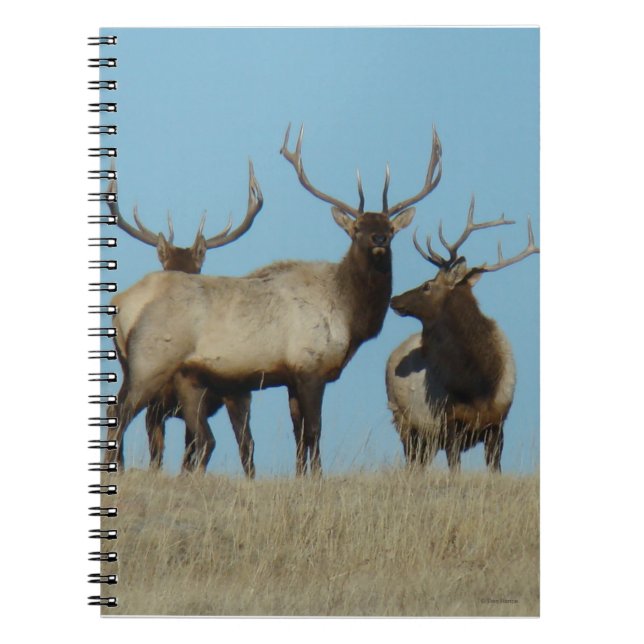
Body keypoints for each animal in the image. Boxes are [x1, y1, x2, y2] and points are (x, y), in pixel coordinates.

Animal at [385, 196, 539, 473]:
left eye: (427, 285)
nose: (394, 299)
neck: (478, 384)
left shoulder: (497, 423)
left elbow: (494, 470)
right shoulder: (449, 422)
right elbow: (455, 469)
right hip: (403, 420)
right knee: (411, 463)